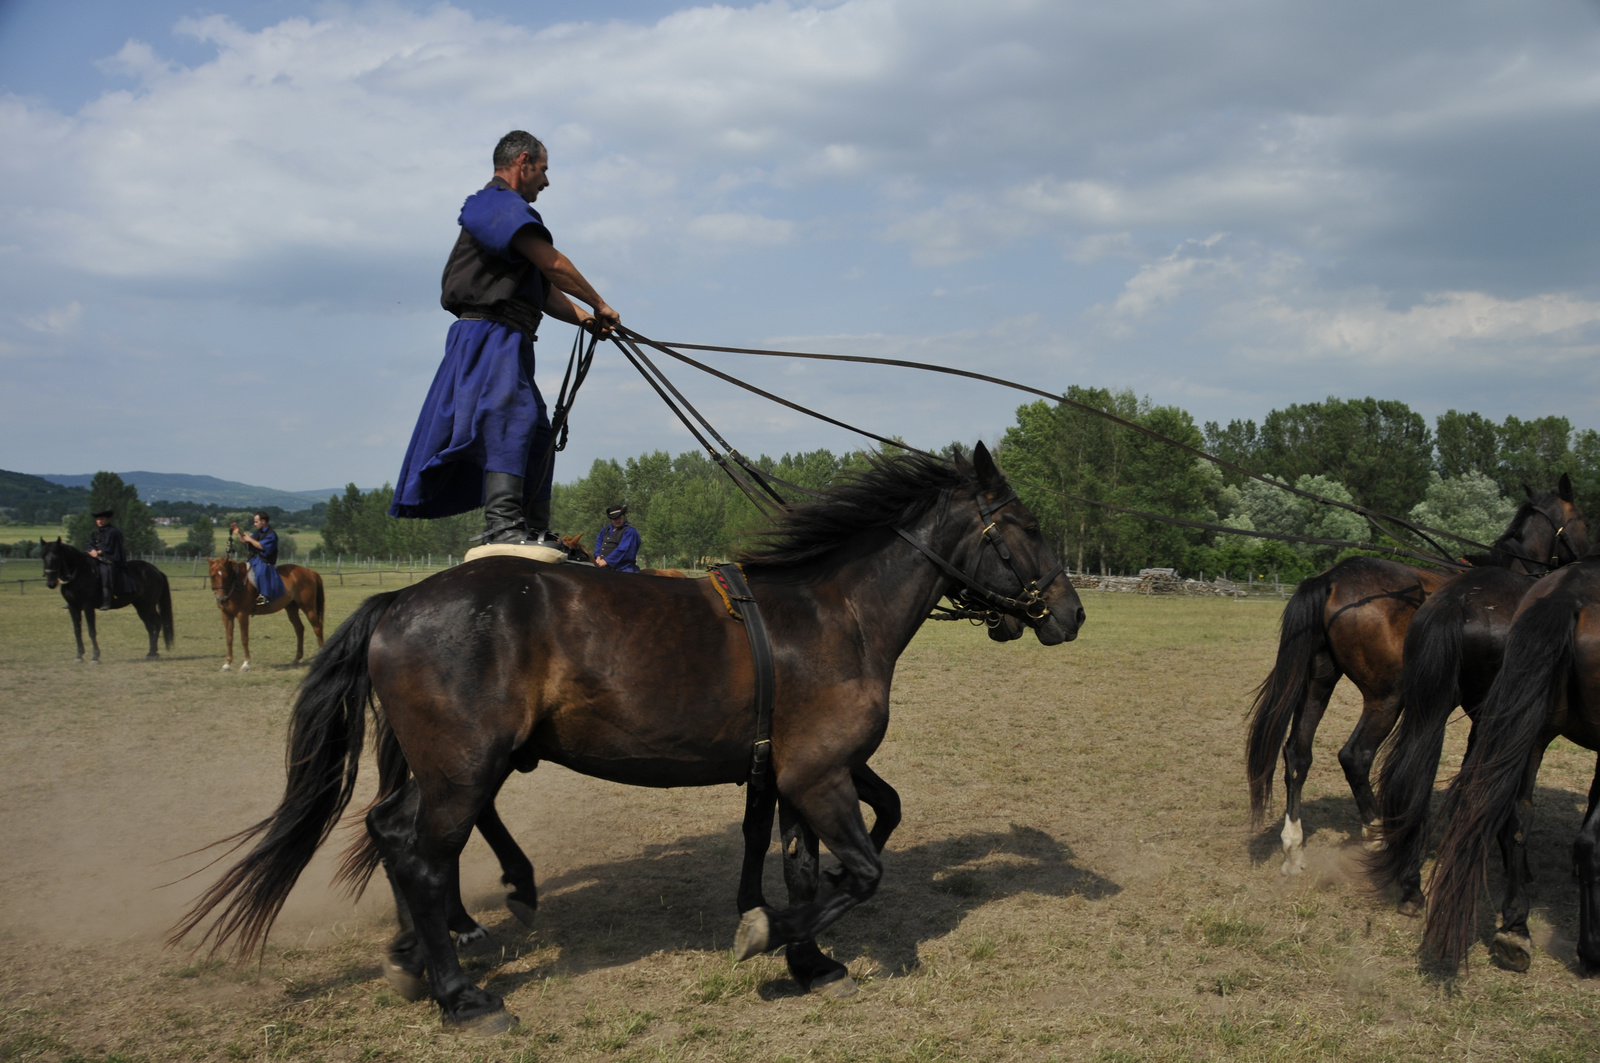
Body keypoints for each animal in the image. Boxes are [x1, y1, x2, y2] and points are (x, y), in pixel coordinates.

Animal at [39, 534, 173, 659]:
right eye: (43, 557)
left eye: (57, 557)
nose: (51, 583)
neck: (79, 573)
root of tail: (156, 570)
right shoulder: (73, 607)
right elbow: (77, 631)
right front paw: (79, 656)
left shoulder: (88, 606)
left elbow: (91, 631)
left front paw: (95, 657)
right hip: (140, 606)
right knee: (150, 626)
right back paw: (152, 652)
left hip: (147, 605)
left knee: (157, 623)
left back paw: (152, 653)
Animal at [168, 445, 1081, 1030]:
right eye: (1028, 527)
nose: (1070, 612)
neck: (835, 614)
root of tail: (399, 601)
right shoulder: (822, 776)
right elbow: (860, 870)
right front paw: (767, 935)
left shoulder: (798, 776)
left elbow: (805, 863)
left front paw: (809, 959)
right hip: (464, 768)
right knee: (421, 856)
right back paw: (462, 993)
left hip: (444, 768)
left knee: (392, 834)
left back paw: (419, 959)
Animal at [1241, 480, 1580, 870]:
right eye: (1583, 518)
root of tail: (1330, 579)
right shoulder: (1489, 708)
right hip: (1389, 696)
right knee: (1355, 756)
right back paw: (1377, 834)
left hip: (1318, 683)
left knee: (1298, 752)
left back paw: (1294, 847)